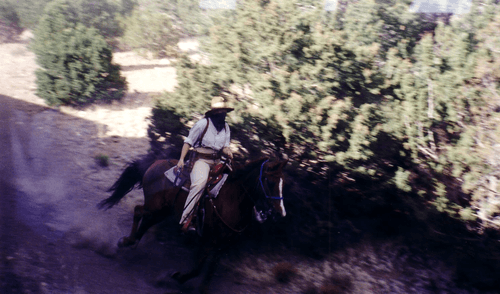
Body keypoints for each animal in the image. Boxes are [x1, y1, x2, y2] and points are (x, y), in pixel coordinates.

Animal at [98, 155, 288, 292]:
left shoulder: (223, 245)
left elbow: (210, 271)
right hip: (154, 206)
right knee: (138, 211)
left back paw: (131, 241)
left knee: (146, 222)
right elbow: (198, 268)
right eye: (271, 181)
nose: (280, 214)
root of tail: (156, 162)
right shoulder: (209, 240)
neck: (231, 199)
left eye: (282, 184)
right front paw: (176, 276)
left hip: (162, 211)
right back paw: (125, 241)